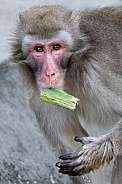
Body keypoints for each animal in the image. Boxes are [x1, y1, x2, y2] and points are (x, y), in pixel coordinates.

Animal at [9, 5, 122, 183]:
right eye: (39, 49)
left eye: (56, 47)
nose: (49, 73)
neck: (72, 68)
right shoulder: (40, 94)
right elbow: (68, 141)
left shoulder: (98, 71)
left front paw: (93, 153)